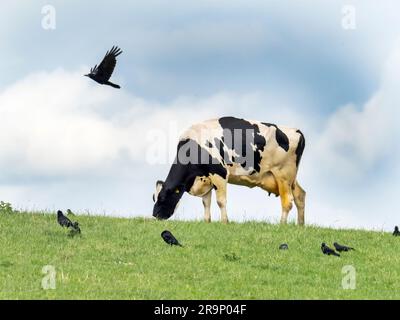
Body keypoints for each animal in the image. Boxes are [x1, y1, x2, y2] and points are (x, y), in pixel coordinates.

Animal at [153, 116, 306, 224]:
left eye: (162, 197)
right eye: (154, 197)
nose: (154, 215)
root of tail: (296, 131)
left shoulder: (219, 173)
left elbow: (220, 201)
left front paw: (224, 222)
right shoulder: (206, 177)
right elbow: (206, 202)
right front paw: (207, 222)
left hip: (283, 175)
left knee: (288, 201)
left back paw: (282, 224)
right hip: (291, 179)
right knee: (300, 195)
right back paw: (300, 225)